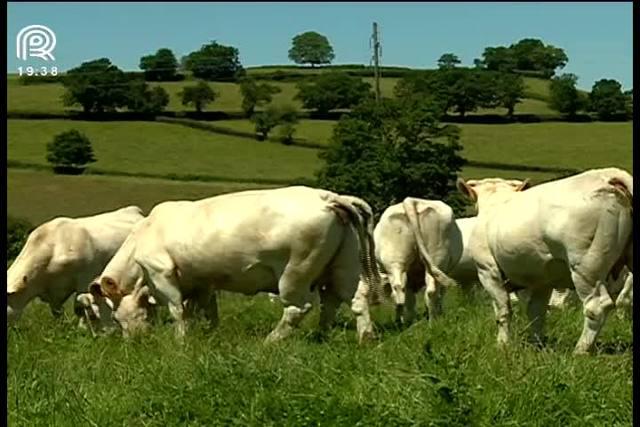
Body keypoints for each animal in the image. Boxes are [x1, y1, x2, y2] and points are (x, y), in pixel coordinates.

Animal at [96, 187, 380, 344]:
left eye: (116, 317)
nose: (132, 342)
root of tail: (326, 197)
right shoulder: (203, 281)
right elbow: (206, 310)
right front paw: (208, 334)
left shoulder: (161, 273)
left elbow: (178, 311)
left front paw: (180, 341)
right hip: (343, 267)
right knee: (349, 299)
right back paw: (355, 336)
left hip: (295, 273)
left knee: (298, 308)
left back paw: (270, 341)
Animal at [458, 169, 632, 356]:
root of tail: (608, 176)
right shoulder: (542, 280)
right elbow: (536, 312)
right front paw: (537, 345)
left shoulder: (488, 271)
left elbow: (503, 311)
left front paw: (502, 345)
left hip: (586, 266)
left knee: (596, 306)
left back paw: (580, 350)